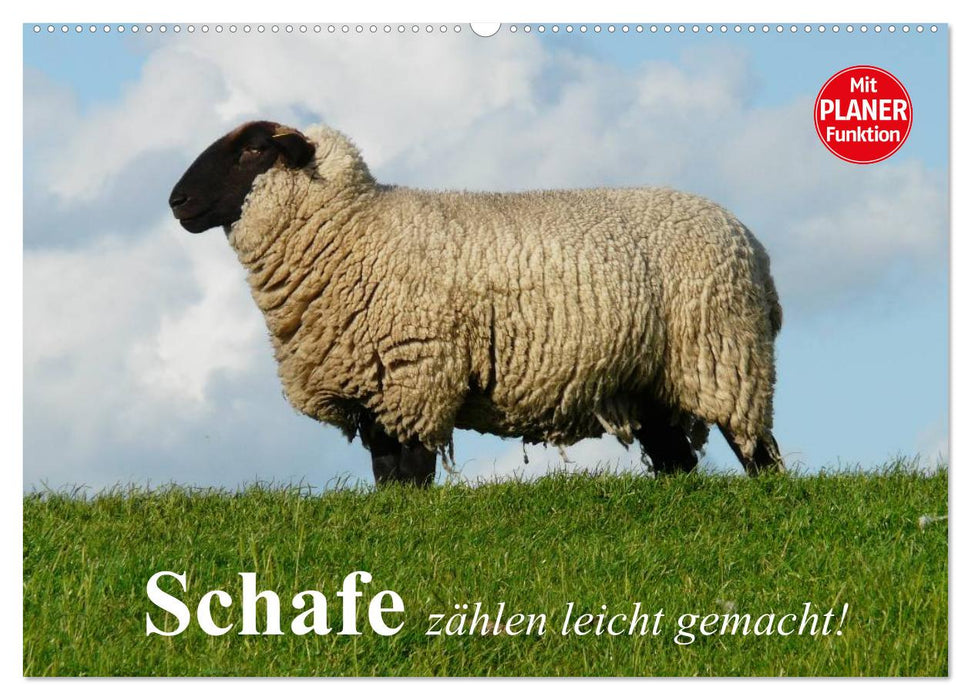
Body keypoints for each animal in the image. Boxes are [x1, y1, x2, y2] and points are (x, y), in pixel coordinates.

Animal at [168, 120, 784, 486]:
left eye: (253, 149)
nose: (177, 201)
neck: (353, 230)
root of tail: (753, 244)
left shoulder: (415, 376)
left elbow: (411, 473)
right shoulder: (376, 390)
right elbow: (387, 475)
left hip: (726, 355)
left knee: (757, 447)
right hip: (652, 378)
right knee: (677, 460)